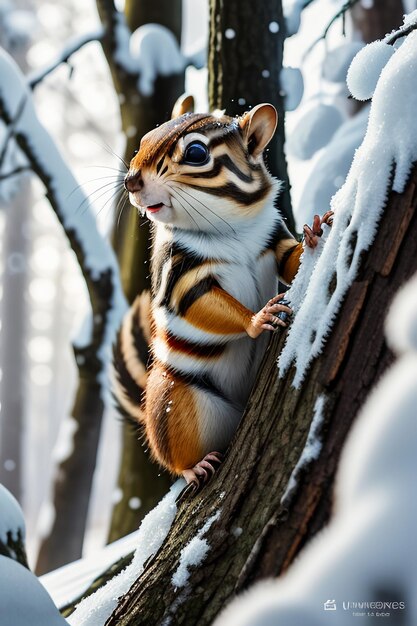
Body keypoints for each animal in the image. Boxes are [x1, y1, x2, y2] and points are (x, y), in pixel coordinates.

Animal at [111, 97, 332, 486]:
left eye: (196, 153)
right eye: (144, 140)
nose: (130, 180)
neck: (232, 229)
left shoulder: (272, 238)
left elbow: (290, 261)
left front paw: (315, 234)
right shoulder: (183, 277)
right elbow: (205, 303)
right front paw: (258, 319)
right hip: (178, 399)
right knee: (172, 452)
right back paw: (193, 466)